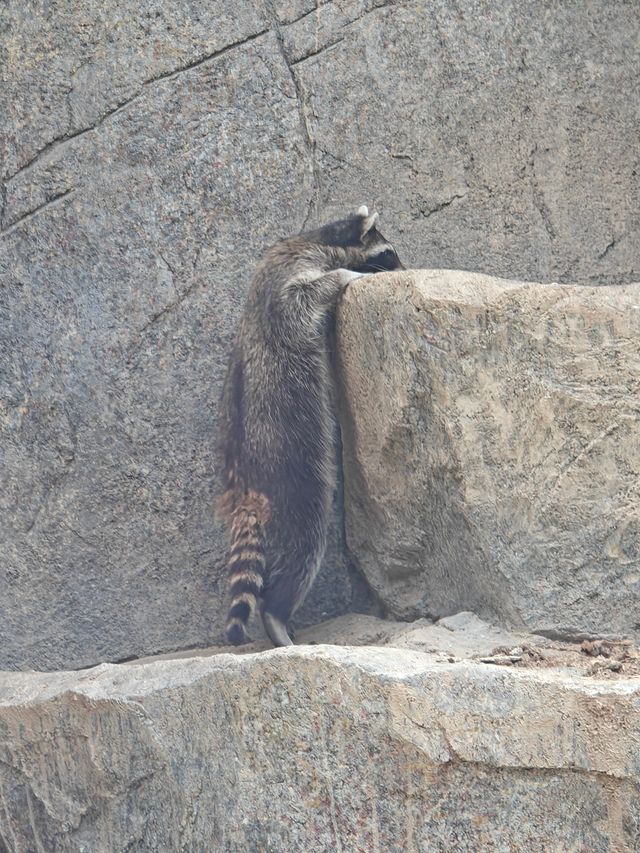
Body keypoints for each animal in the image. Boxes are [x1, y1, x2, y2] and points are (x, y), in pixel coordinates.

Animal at [218, 206, 402, 644]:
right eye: (390, 253)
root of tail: (246, 486)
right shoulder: (286, 280)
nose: (407, 267)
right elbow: (302, 298)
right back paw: (276, 612)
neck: (317, 237)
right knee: (305, 538)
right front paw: (346, 277)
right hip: (291, 468)